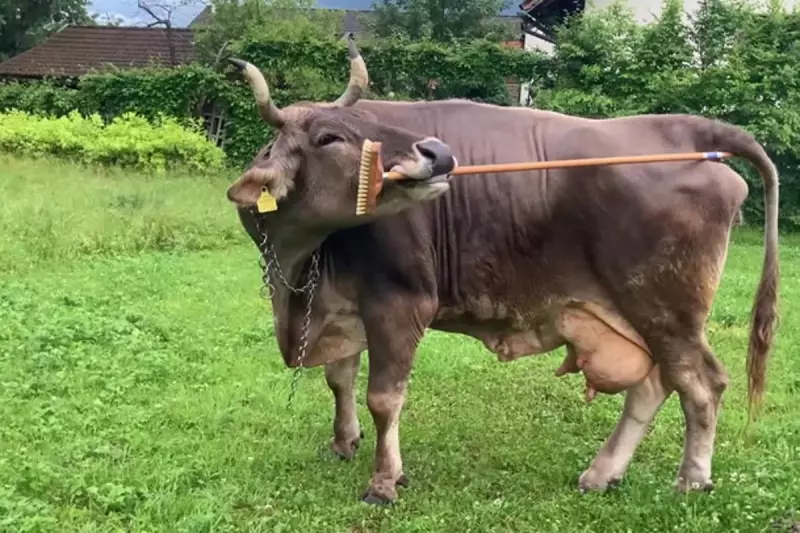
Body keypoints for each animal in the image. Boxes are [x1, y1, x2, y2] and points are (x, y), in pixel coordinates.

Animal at [225, 36, 779, 504]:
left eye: (364, 126)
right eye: (329, 136)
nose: (438, 152)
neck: (300, 268)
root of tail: (683, 126)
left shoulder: (399, 302)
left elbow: (384, 397)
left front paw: (384, 481)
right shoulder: (342, 304)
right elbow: (339, 377)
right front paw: (344, 441)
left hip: (667, 310)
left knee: (702, 384)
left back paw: (692, 478)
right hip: (637, 315)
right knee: (654, 384)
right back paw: (602, 474)